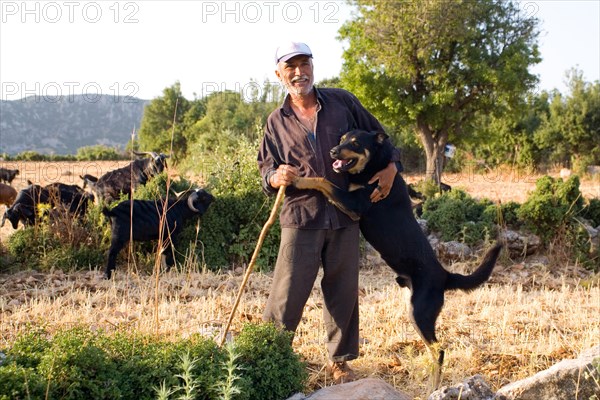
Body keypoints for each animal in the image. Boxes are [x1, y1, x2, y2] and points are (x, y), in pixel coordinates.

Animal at [294, 130, 502, 388]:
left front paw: (297, 180)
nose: (333, 151)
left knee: (439, 350)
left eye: (355, 143)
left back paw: (433, 386)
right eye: (342, 139)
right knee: (434, 349)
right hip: (414, 310)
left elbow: (322, 180)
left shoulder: (354, 204)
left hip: (420, 314)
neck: (374, 165)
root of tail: (445, 275)